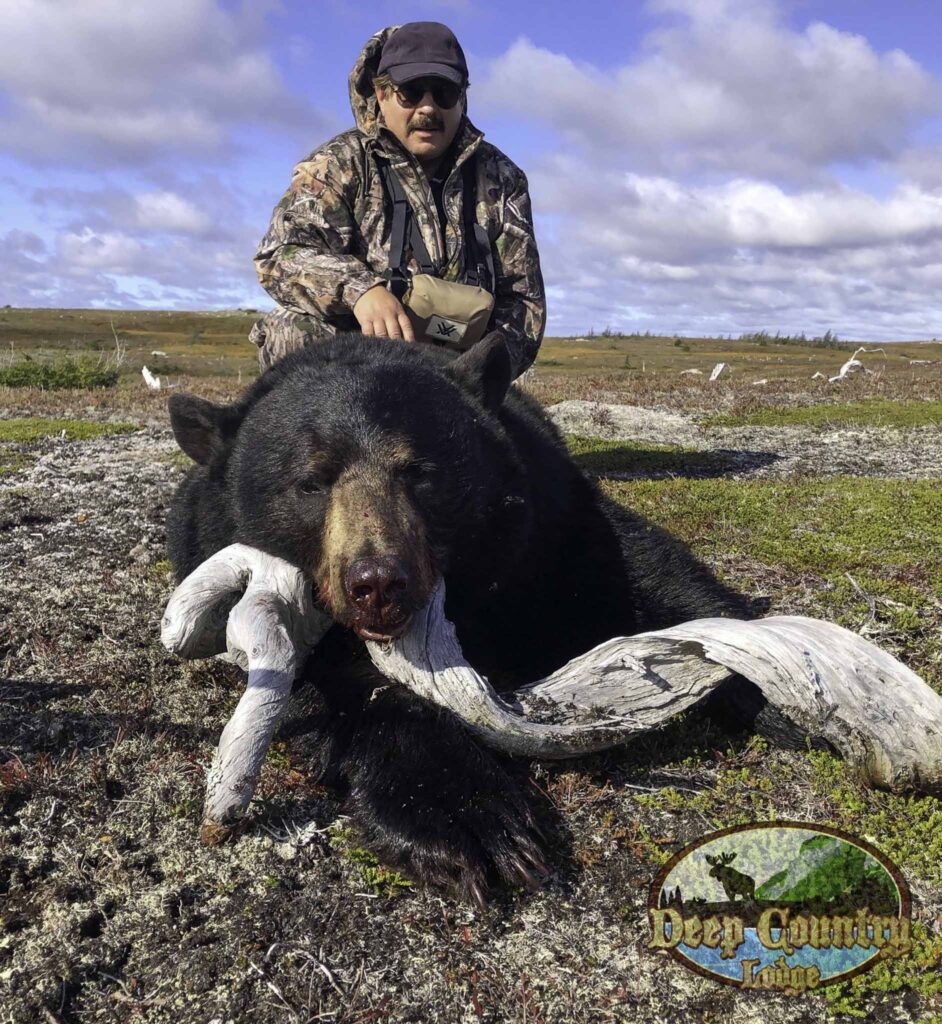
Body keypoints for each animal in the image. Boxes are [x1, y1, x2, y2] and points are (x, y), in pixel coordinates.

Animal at [166, 332, 754, 903]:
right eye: (311, 481)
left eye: (420, 472)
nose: (378, 583)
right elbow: (336, 690)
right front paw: (466, 820)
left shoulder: (556, 522)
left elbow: (659, 579)